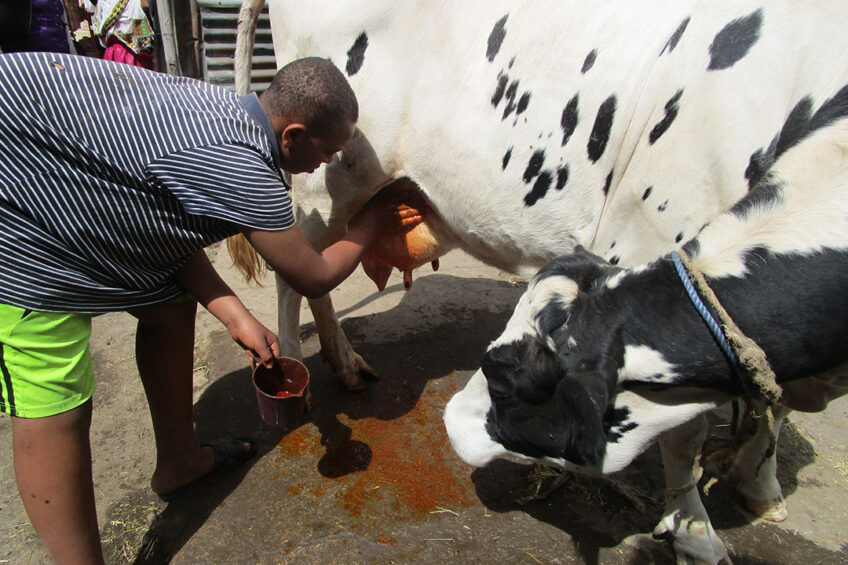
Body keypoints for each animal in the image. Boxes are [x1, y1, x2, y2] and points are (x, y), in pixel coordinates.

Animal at [232, 2, 848, 560]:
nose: (455, 425)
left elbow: (771, 403)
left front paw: (760, 485)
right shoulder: (653, 236)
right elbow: (687, 431)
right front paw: (696, 532)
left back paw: (345, 365)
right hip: (323, 179)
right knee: (296, 273)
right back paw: (297, 376)